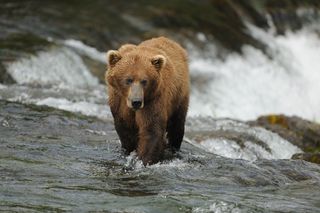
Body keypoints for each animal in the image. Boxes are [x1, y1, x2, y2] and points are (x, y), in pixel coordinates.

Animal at [105, 36, 190, 165]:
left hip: (179, 95)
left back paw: (173, 147)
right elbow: (125, 127)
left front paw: (145, 160)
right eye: (128, 80)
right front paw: (130, 150)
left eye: (144, 81)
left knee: (177, 124)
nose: (136, 101)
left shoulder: (154, 99)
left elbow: (151, 129)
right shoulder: (119, 101)